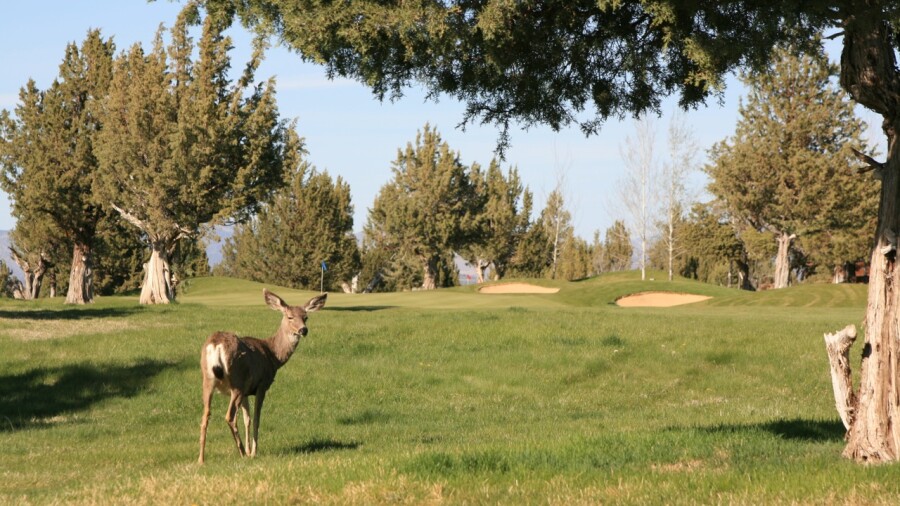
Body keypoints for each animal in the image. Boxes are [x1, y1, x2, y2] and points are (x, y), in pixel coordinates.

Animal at [198, 288, 327, 464]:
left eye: (305, 317)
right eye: (290, 317)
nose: (303, 330)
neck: (273, 355)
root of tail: (215, 344)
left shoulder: (246, 391)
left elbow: (247, 419)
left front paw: (249, 449)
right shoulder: (262, 385)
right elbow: (256, 418)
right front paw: (253, 452)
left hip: (209, 380)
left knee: (205, 415)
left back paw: (201, 459)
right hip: (236, 381)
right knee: (229, 416)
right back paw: (241, 453)